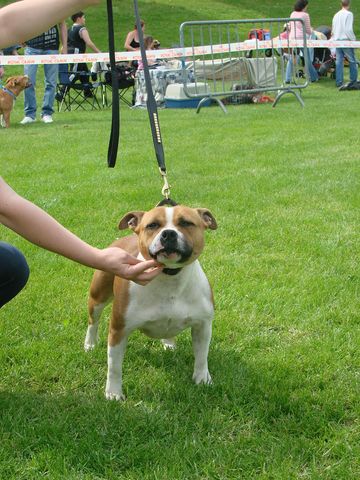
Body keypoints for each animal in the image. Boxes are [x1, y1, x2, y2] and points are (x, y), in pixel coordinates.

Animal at [84, 205, 217, 402]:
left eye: (186, 223)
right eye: (152, 225)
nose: (168, 234)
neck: (170, 278)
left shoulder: (203, 326)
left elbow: (201, 357)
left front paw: (202, 379)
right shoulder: (118, 330)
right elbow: (114, 366)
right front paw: (113, 393)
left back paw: (169, 344)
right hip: (98, 296)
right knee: (93, 321)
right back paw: (90, 343)